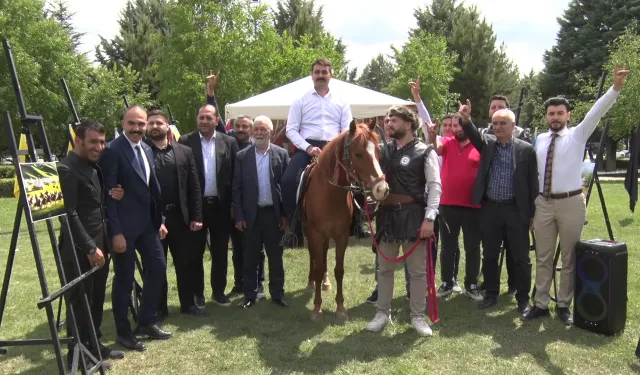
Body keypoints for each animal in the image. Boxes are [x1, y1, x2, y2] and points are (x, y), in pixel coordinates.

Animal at [298, 119, 390, 320]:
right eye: (358, 154)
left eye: (378, 152)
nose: (382, 189)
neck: (330, 195)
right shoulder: (316, 234)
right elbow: (317, 267)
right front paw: (317, 308)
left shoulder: (341, 236)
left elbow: (339, 270)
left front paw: (340, 307)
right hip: (309, 232)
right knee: (313, 257)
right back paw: (311, 282)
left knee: (324, 255)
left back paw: (325, 283)